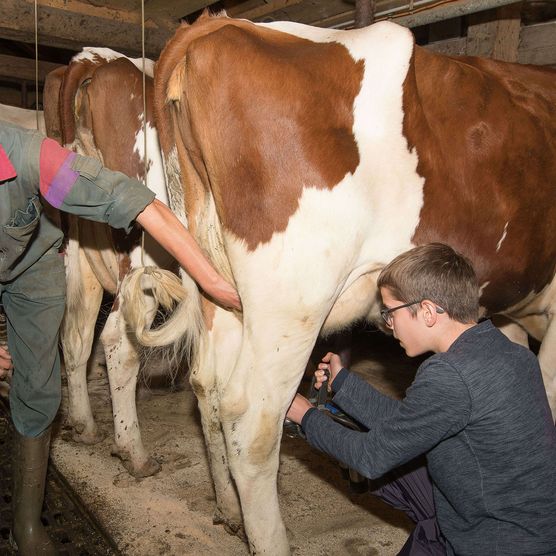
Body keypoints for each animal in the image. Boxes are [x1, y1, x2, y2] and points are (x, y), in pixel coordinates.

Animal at [43, 46, 187, 478]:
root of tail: (95, 60)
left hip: (78, 250)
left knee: (75, 333)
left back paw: (84, 426)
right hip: (142, 258)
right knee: (118, 342)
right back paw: (134, 452)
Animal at [124, 13, 552, 556]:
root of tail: (218, 24)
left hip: (219, 288)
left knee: (208, 385)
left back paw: (229, 511)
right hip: (294, 298)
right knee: (252, 417)